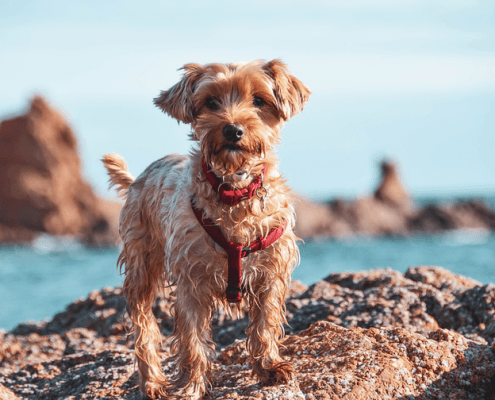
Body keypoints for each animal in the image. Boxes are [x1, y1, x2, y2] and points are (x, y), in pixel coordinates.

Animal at [101, 60, 310, 400]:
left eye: (259, 100)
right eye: (211, 102)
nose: (233, 129)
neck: (234, 190)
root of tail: (136, 180)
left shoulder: (271, 272)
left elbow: (265, 324)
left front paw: (269, 367)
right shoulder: (191, 281)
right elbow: (192, 341)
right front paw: (190, 386)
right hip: (141, 262)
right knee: (144, 325)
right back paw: (153, 382)